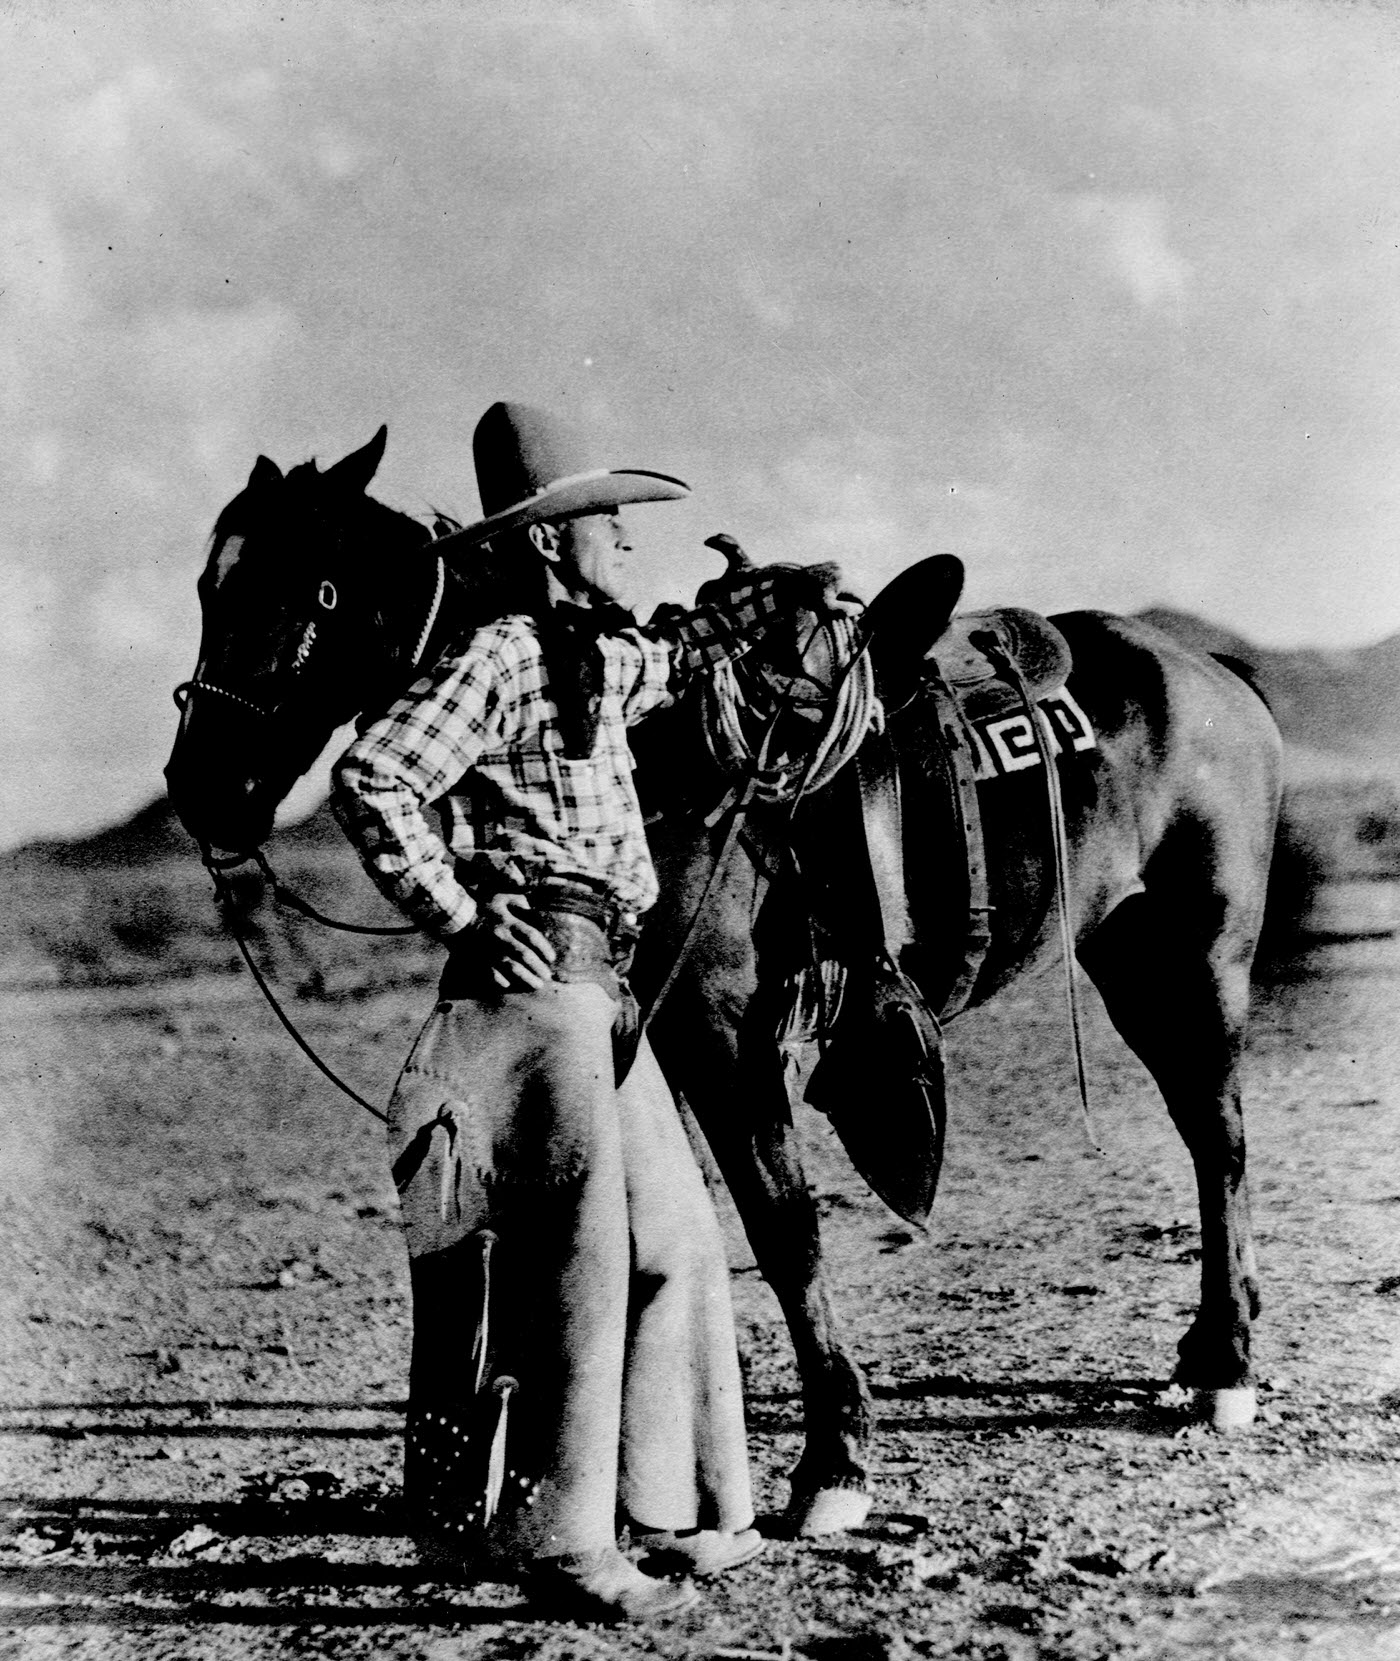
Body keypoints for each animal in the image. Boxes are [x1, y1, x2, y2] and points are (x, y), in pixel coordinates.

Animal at [164, 425, 1282, 1528]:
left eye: (306, 588)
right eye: (207, 587)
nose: (200, 788)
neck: (647, 747)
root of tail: (1213, 670)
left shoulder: (727, 1040)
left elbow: (783, 1229)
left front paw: (834, 1461)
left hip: (1199, 954)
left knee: (1218, 1137)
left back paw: (1226, 1367)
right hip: (1127, 956)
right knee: (1201, 1131)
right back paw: (1201, 1353)